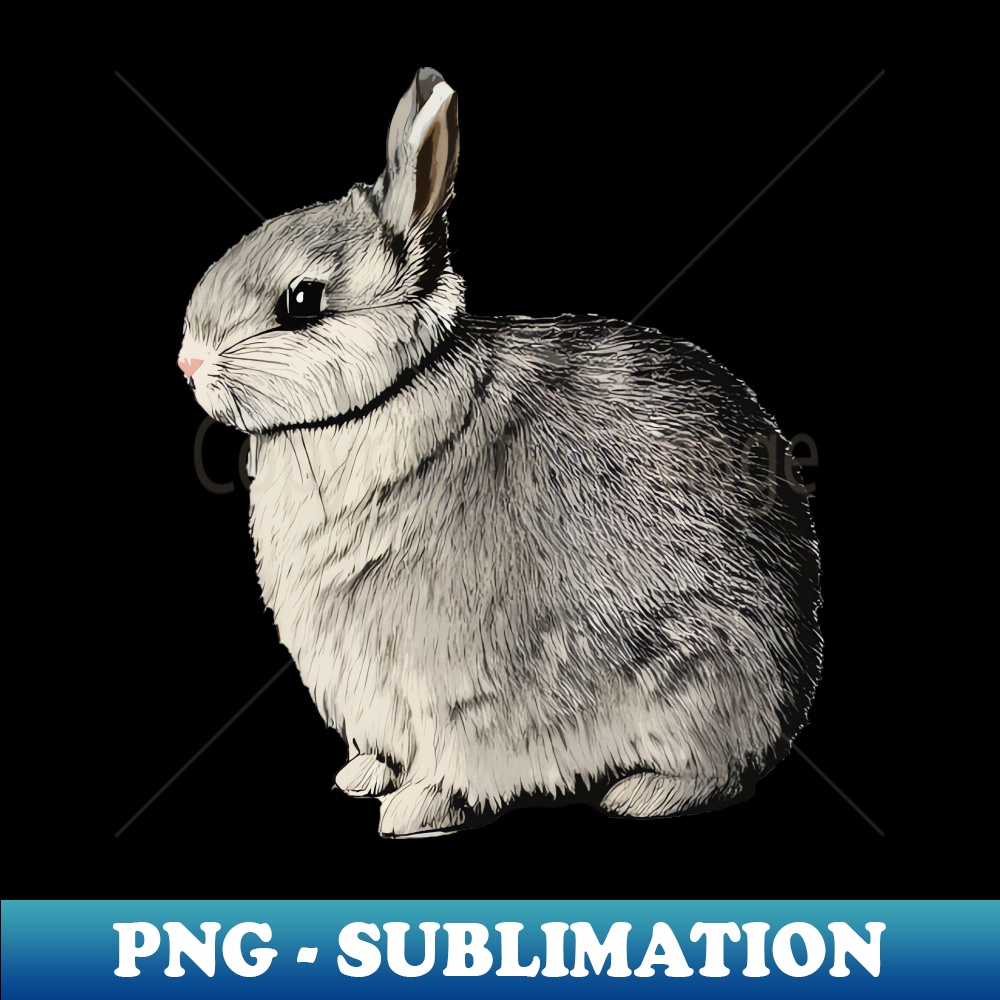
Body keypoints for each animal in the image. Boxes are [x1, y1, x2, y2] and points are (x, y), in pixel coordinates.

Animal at [178, 67, 821, 838]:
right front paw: (364, 777)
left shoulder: (455, 676)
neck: (389, 395)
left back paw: (641, 793)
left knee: (720, 770)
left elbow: (458, 750)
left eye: (302, 301)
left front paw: (414, 811)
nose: (187, 363)